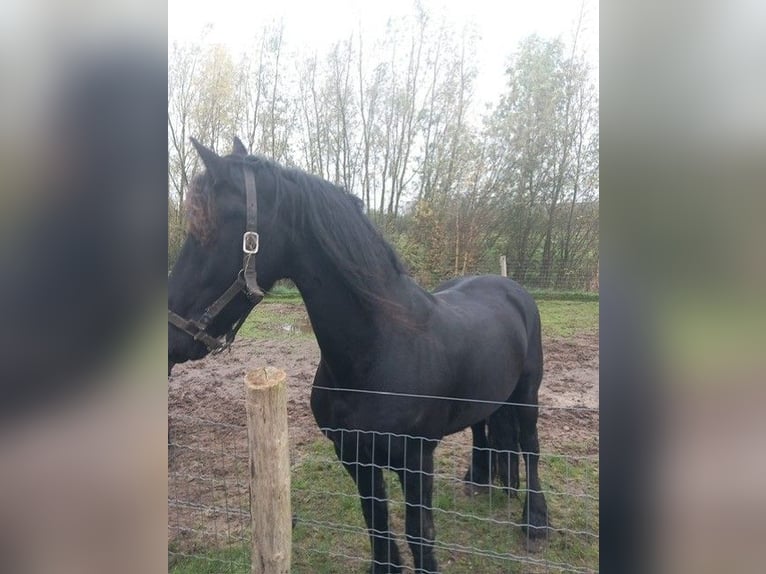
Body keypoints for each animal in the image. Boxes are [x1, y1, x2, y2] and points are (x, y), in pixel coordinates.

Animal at [170, 137, 548, 572]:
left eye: (207, 231)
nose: (171, 337)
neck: (375, 355)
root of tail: (510, 287)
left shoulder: (416, 460)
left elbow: (420, 534)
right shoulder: (354, 455)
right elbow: (376, 522)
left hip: (527, 395)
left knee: (530, 446)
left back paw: (535, 522)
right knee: (484, 429)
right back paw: (481, 482)